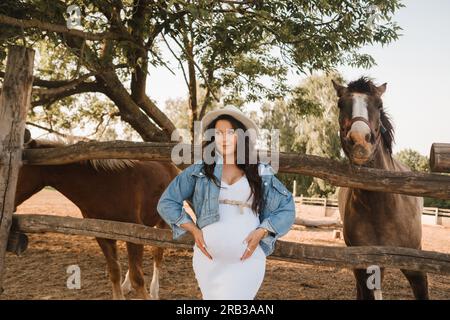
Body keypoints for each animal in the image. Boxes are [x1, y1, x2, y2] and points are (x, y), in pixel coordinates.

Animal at [14, 131, 176, 298]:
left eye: (17, 171)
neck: (105, 187)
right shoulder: (104, 235)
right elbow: (115, 272)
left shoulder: (133, 231)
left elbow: (137, 278)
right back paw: (127, 285)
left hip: (162, 223)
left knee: (157, 254)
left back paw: (154, 291)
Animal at [334, 77, 428, 300]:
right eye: (340, 104)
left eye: (379, 105)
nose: (360, 141)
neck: (380, 207)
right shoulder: (364, 265)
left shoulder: (416, 267)